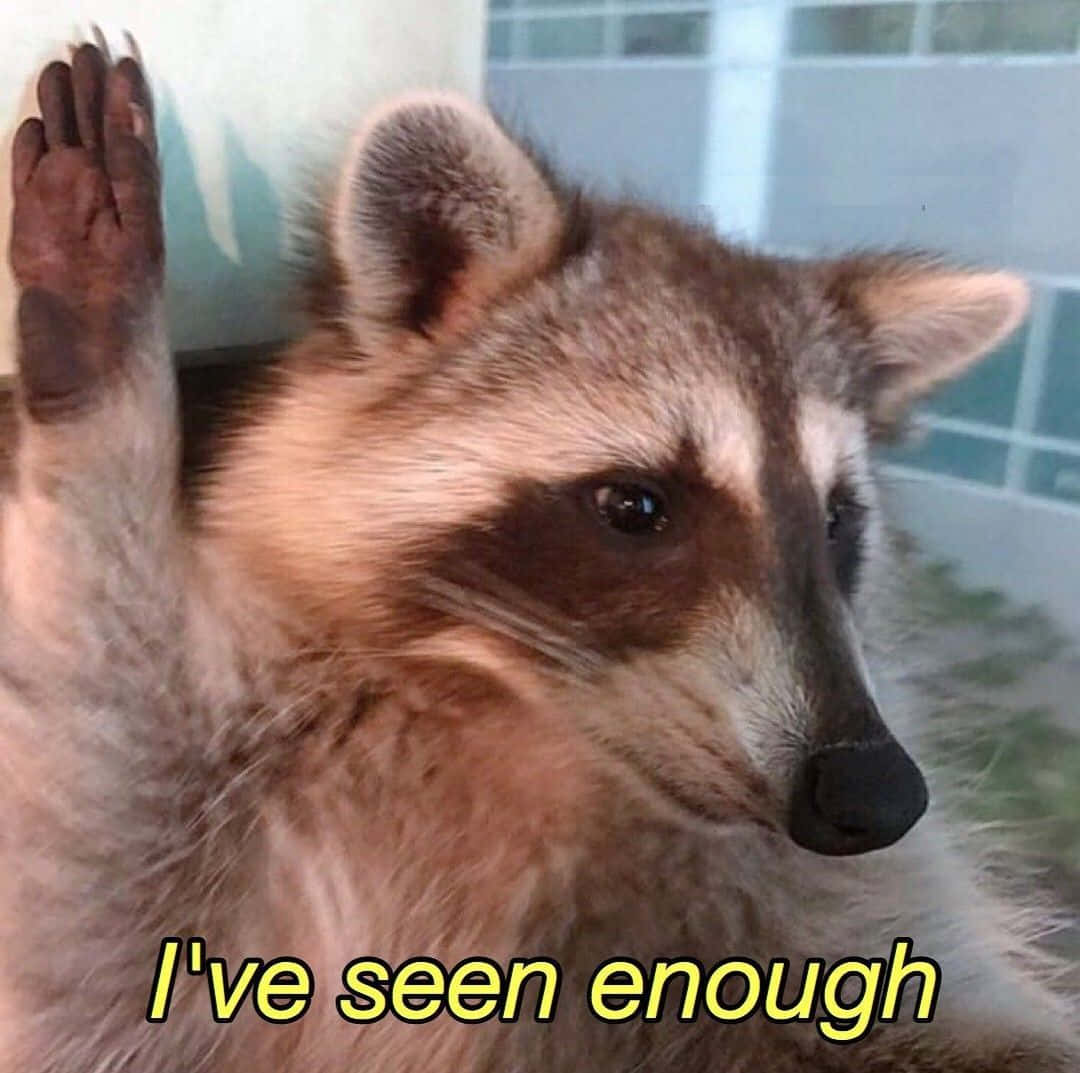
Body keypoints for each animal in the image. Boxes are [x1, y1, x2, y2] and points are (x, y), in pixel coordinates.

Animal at [0, 40, 1076, 1073]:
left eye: (837, 519)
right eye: (636, 506)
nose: (874, 792)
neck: (523, 716)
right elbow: (100, 893)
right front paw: (101, 391)